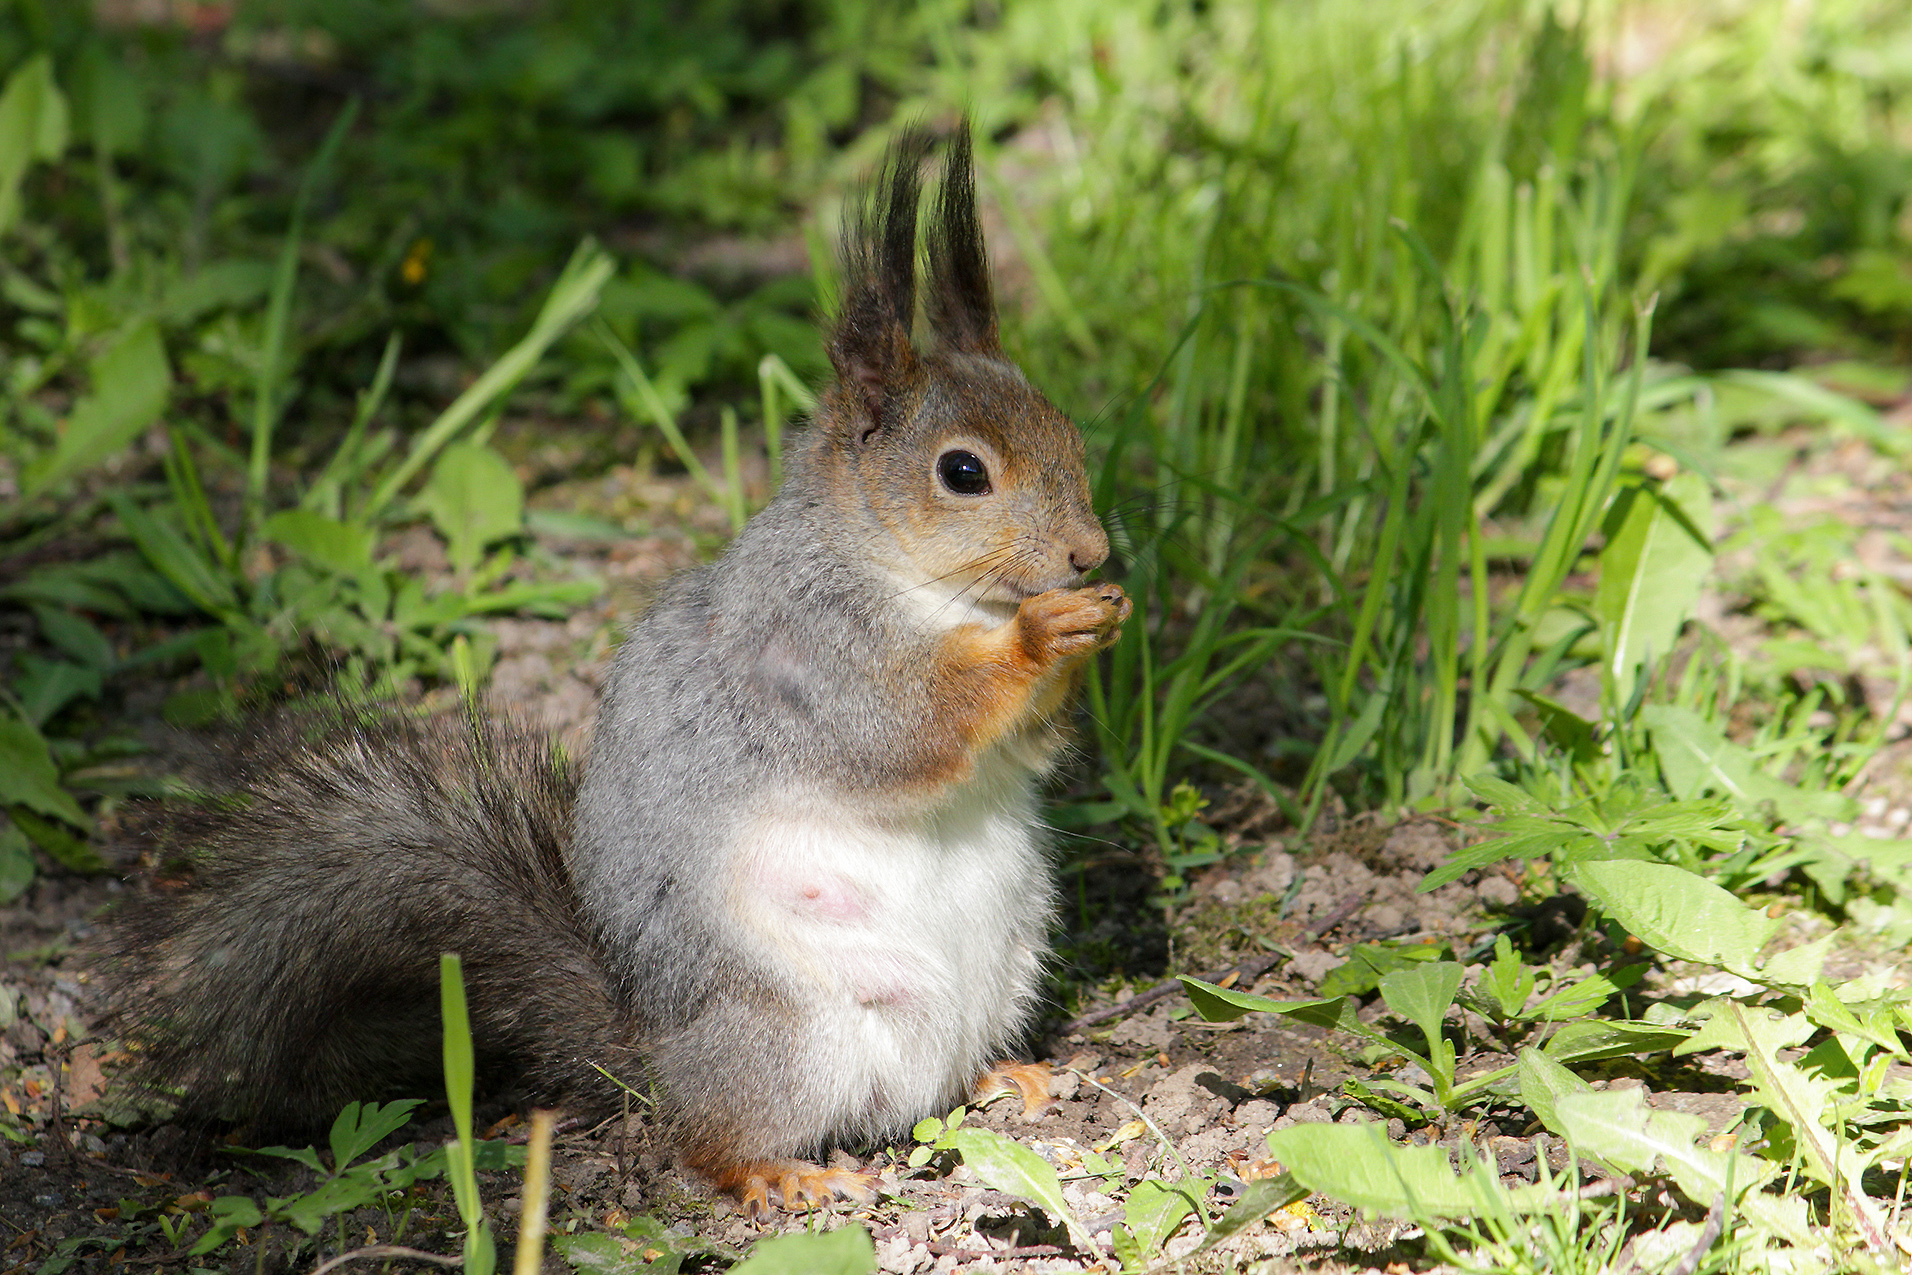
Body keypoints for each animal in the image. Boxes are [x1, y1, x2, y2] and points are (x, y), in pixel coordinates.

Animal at [96, 120, 1130, 1219]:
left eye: (1067, 431)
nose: (1090, 552)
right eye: (962, 472)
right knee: (711, 1138)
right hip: (787, 1031)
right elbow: (905, 730)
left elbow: (1027, 747)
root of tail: (654, 1056)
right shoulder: (804, 651)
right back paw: (773, 1170)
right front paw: (1040, 636)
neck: (927, 587)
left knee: (939, 1083)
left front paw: (1098, 625)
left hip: (1007, 964)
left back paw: (1007, 1074)